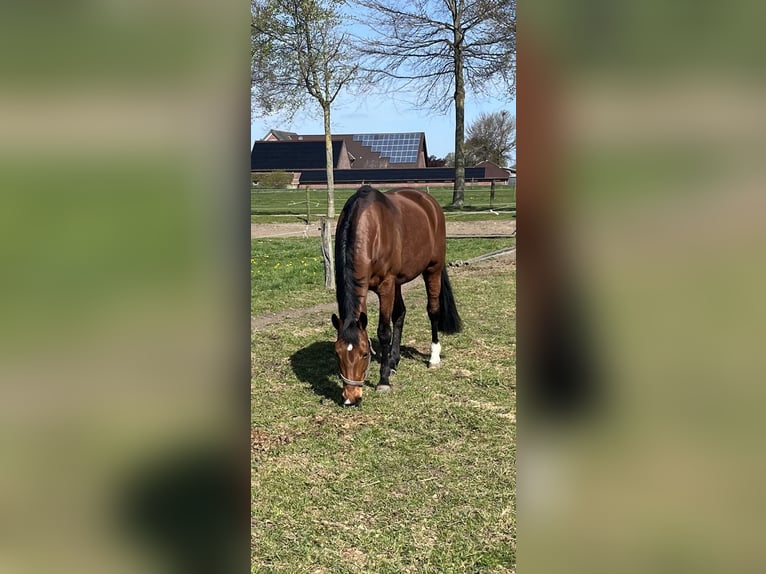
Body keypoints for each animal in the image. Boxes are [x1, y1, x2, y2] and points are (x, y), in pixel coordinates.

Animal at [331, 185, 462, 406]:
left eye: (364, 354)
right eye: (337, 353)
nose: (351, 398)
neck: (370, 226)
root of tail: (428, 201)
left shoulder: (386, 286)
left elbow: (384, 332)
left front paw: (383, 381)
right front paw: (388, 366)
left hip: (432, 269)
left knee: (433, 310)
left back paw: (434, 357)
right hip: (399, 282)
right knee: (400, 314)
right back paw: (393, 361)